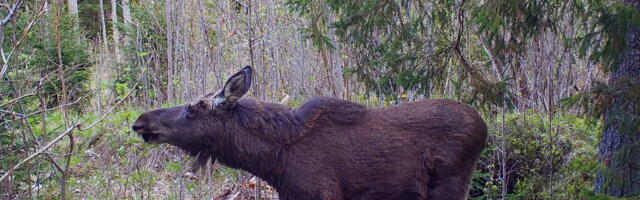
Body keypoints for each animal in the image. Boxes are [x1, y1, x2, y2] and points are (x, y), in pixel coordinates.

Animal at [132, 66, 488, 199]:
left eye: (193, 109)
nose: (140, 121)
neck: (273, 161)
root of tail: (483, 126)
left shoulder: (322, 195)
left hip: (450, 184)